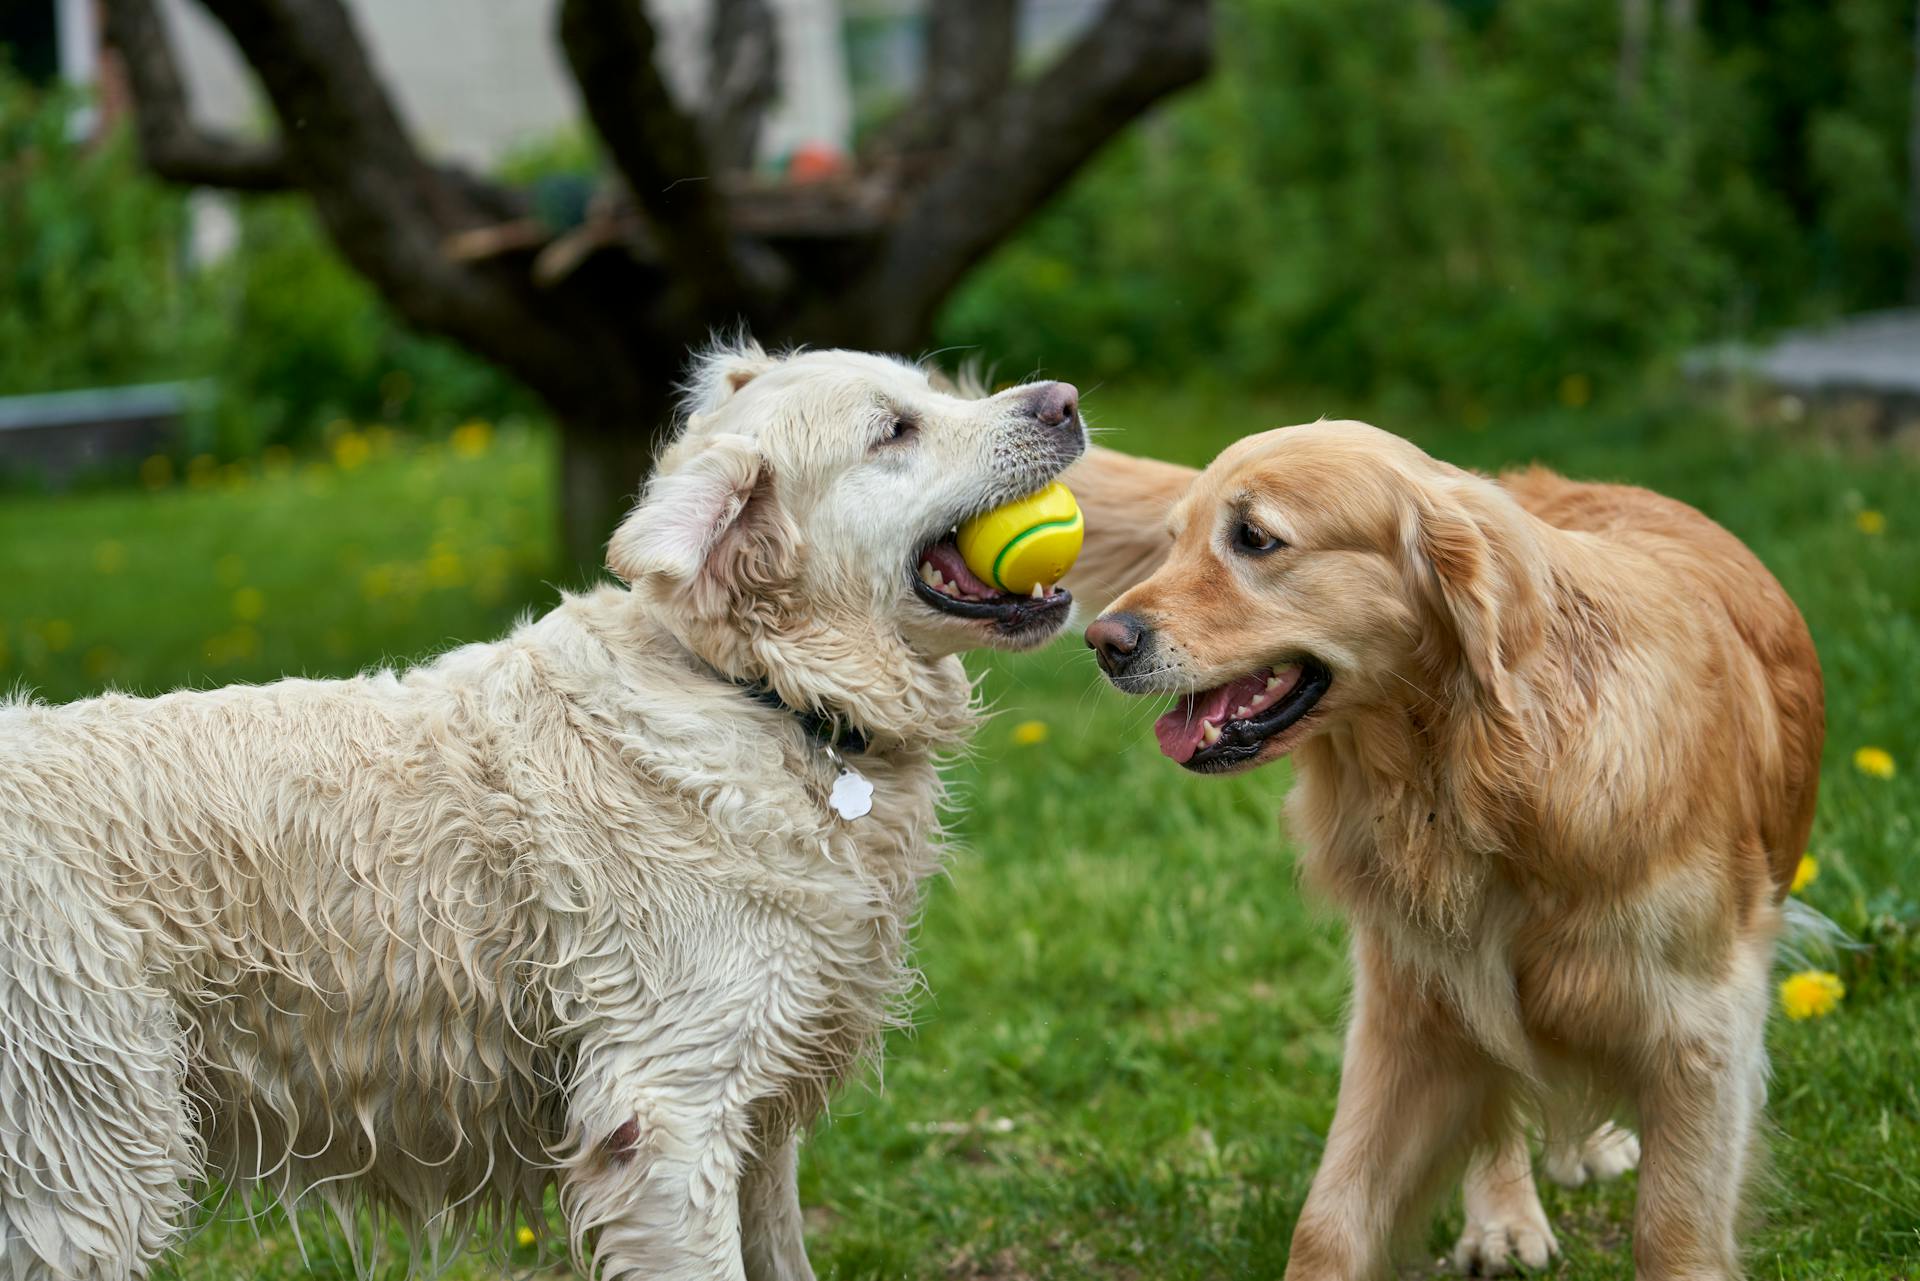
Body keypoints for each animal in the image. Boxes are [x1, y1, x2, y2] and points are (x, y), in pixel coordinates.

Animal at [0, 345, 1082, 1275]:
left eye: (932, 388)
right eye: (894, 429)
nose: (1064, 401)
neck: (765, 693)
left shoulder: (760, 1111)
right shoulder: (666, 1112)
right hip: (89, 1152)